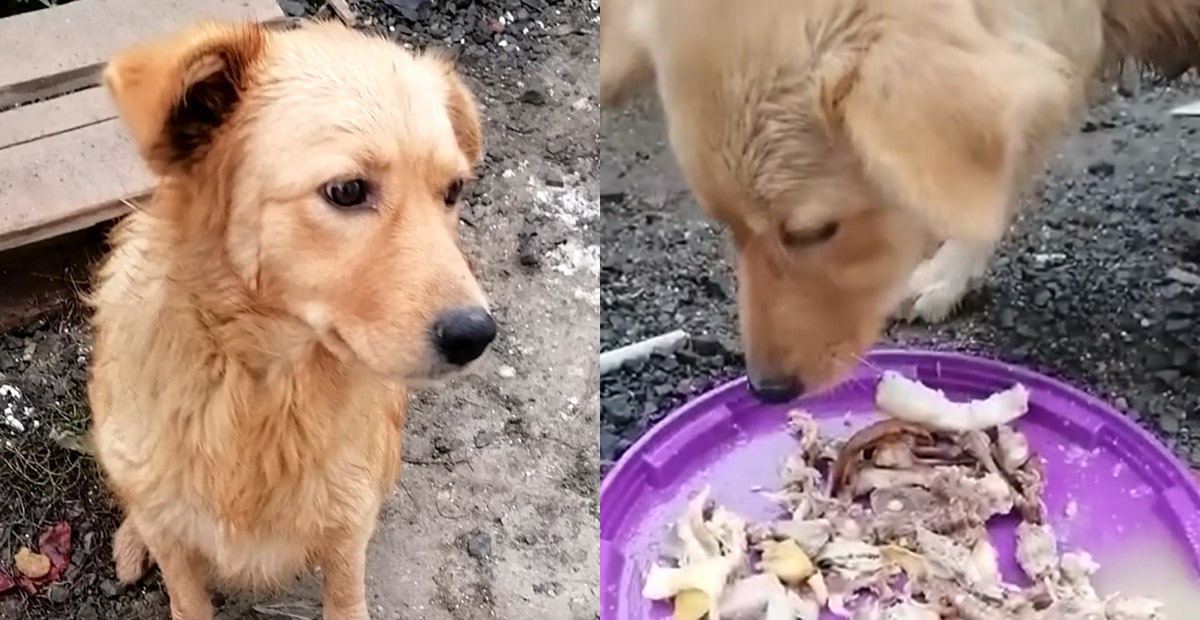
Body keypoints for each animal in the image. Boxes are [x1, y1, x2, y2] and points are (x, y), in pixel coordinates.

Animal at [87, 19, 494, 618]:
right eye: (346, 190)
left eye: (453, 191)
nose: (477, 334)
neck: (258, 382)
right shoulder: (173, 535)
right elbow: (185, 589)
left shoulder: (348, 530)